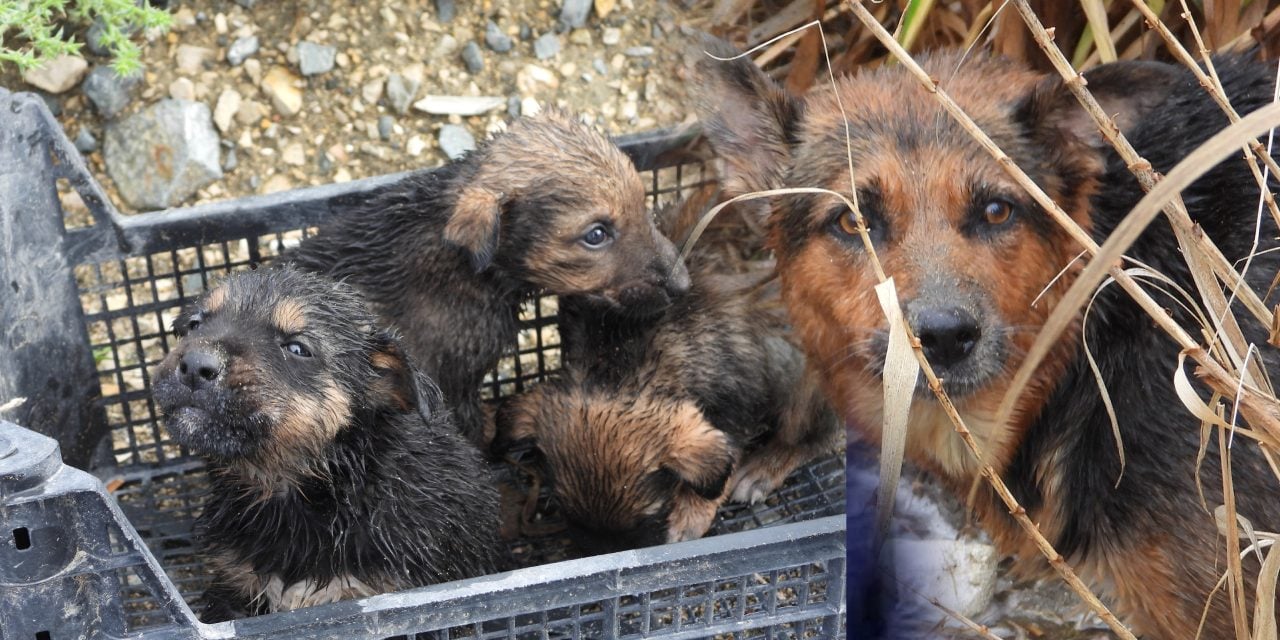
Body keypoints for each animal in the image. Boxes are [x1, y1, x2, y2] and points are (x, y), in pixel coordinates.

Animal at [494, 257, 844, 552]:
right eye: (563, 509)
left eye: (648, 518)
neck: (620, 358)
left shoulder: (734, 404)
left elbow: (721, 466)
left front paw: (690, 513)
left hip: (806, 384)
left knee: (816, 438)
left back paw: (763, 468)